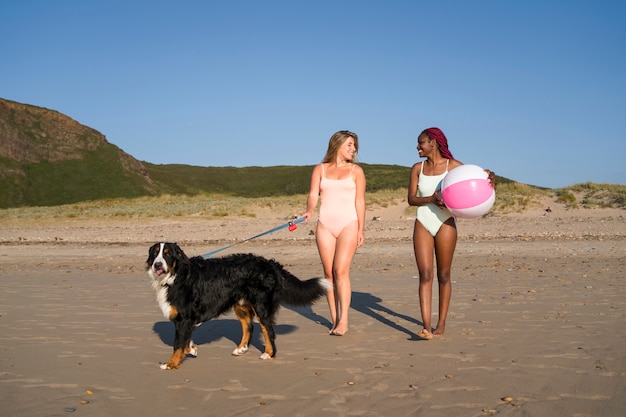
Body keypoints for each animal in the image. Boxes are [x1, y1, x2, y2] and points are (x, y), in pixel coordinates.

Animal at [147, 242, 332, 368]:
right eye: (155, 254)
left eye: (167, 254)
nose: (157, 264)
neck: (176, 276)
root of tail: (269, 263)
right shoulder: (185, 320)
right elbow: (185, 340)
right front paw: (191, 348)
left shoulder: (184, 318)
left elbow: (177, 344)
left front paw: (171, 364)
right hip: (241, 305)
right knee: (249, 327)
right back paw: (241, 349)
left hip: (261, 306)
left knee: (268, 330)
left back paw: (268, 354)